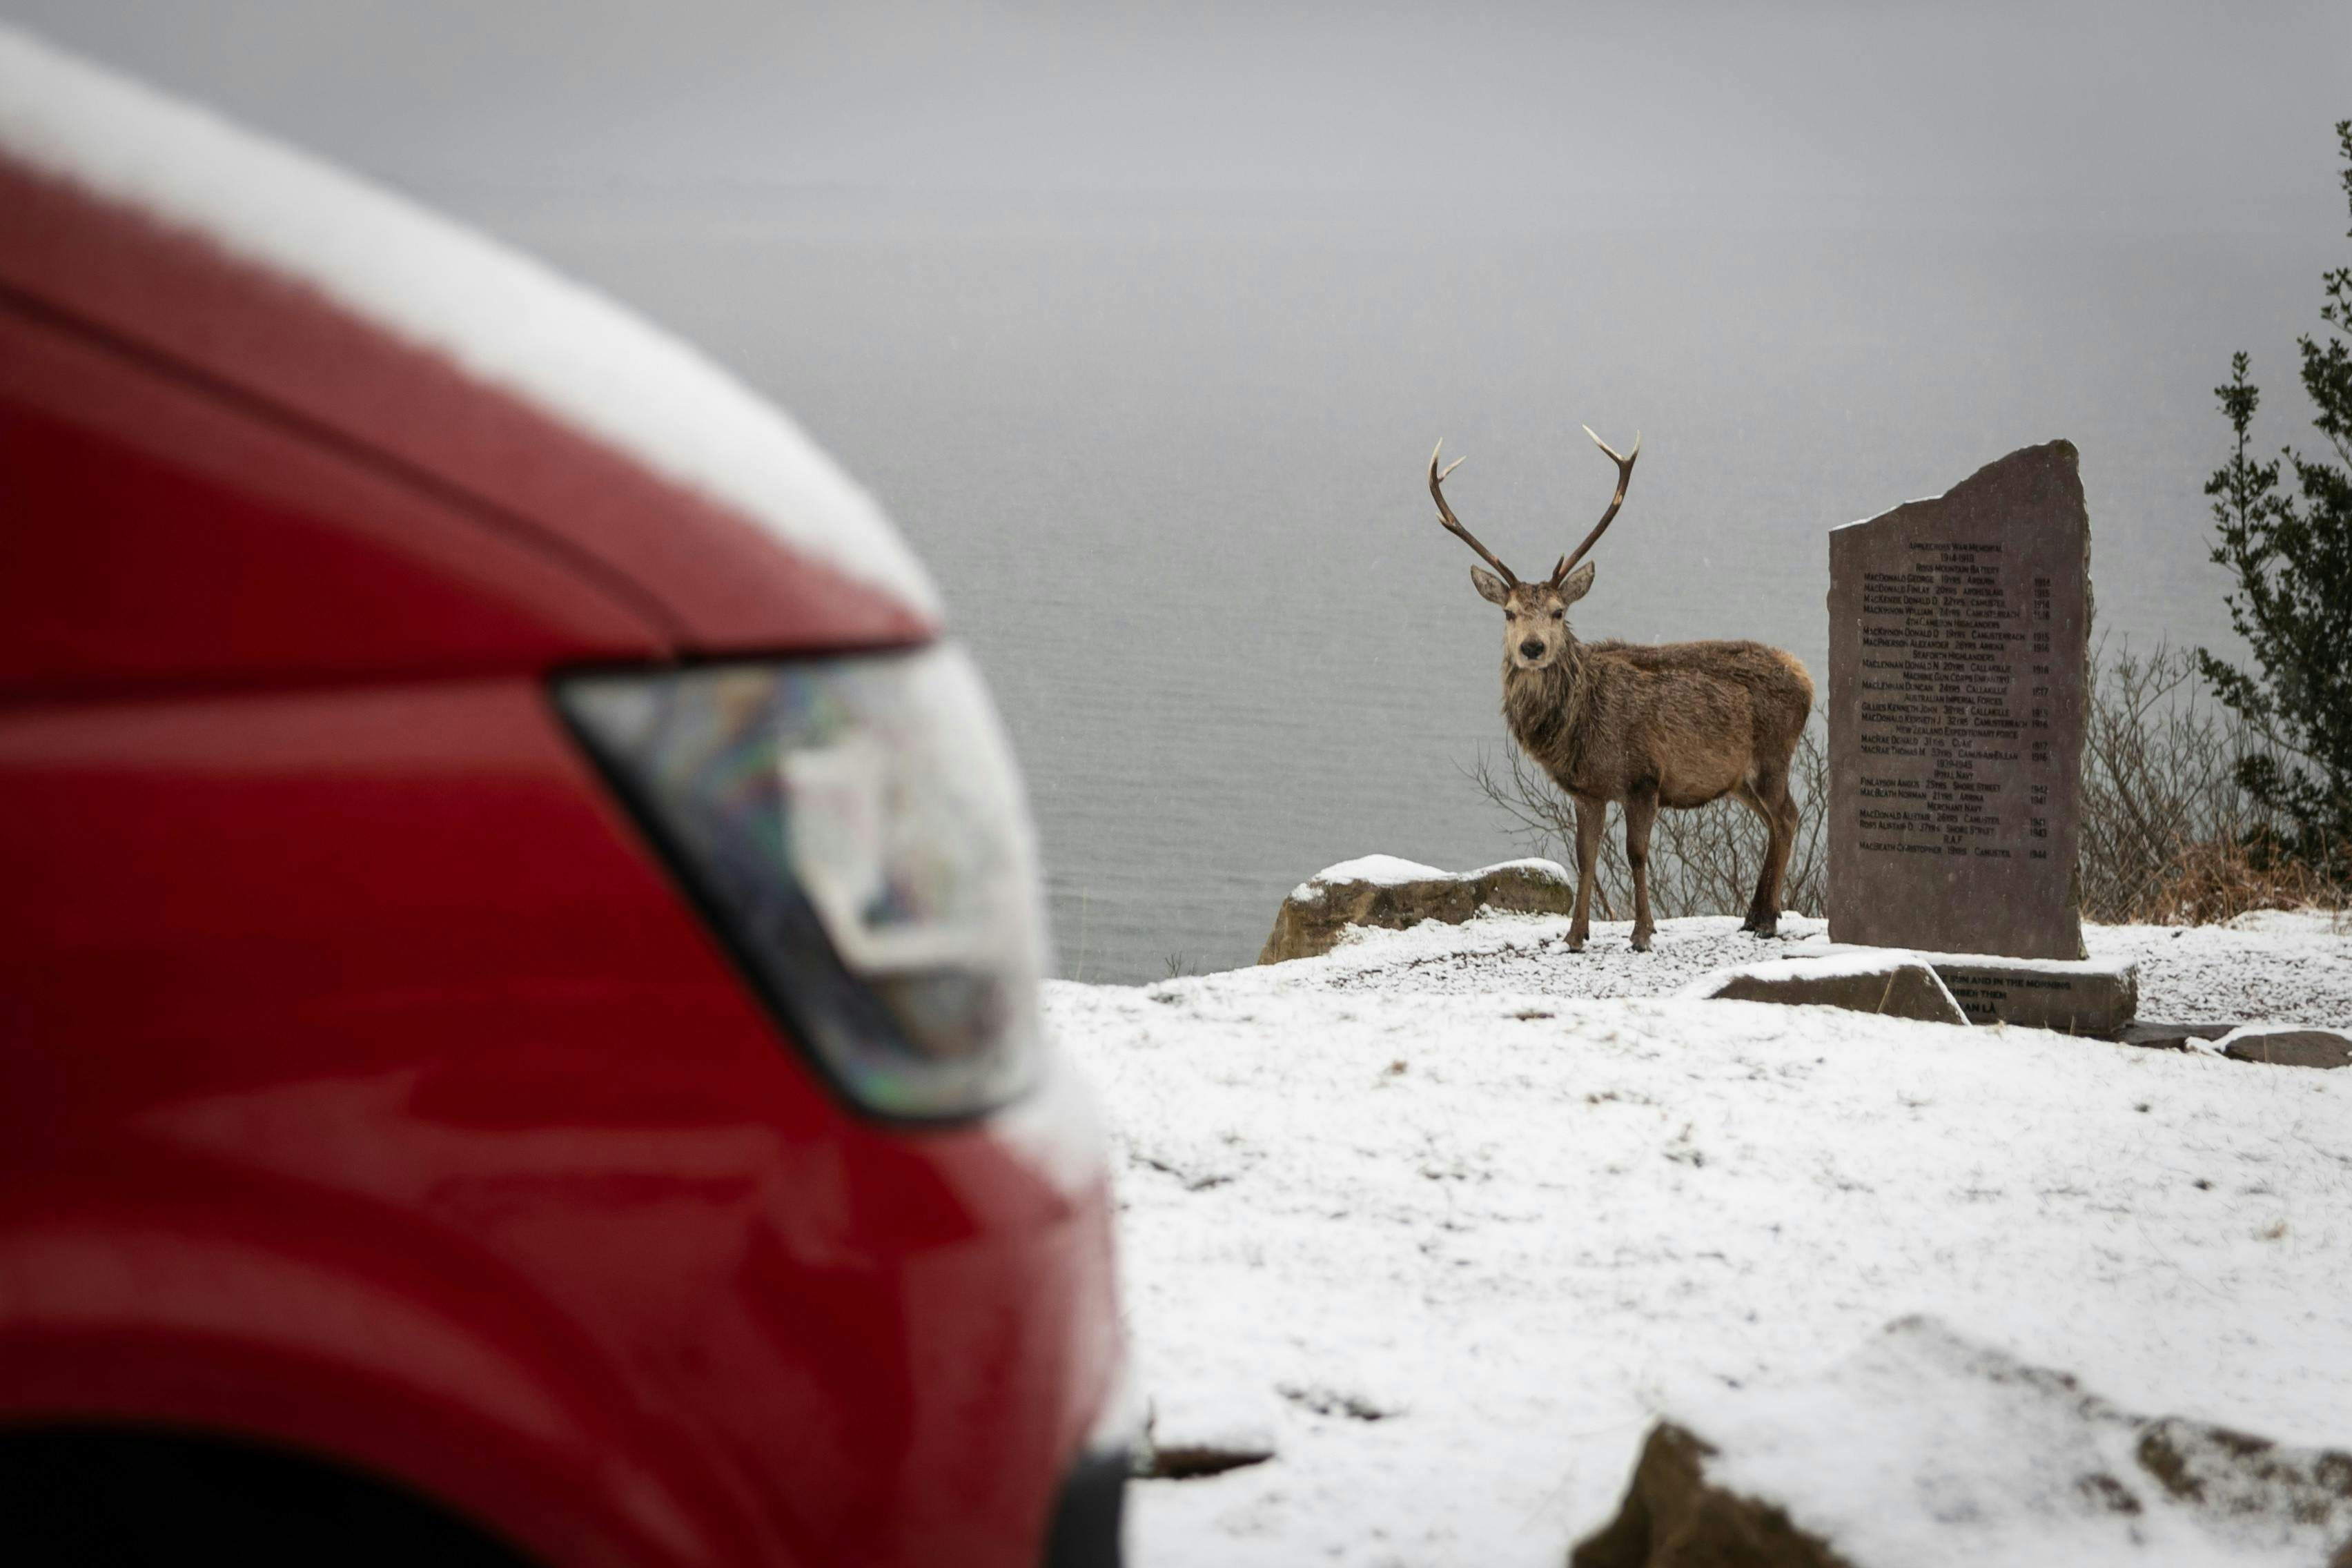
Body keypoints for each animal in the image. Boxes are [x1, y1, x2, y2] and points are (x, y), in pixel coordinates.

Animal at [1429, 428, 1813, 953]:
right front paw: (1574, 935)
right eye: (1508, 613)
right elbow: (1585, 856)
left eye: (1559, 612)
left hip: (1774, 756)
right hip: (1740, 779)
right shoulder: (1586, 789)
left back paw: (1769, 919)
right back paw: (1754, 916)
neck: (1582, 728)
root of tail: (1807, 680)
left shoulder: (1644, 775)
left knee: (1789, 817)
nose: (1532, 647)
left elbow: (1636, 854)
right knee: (1774, 821)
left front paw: (1643, 932)